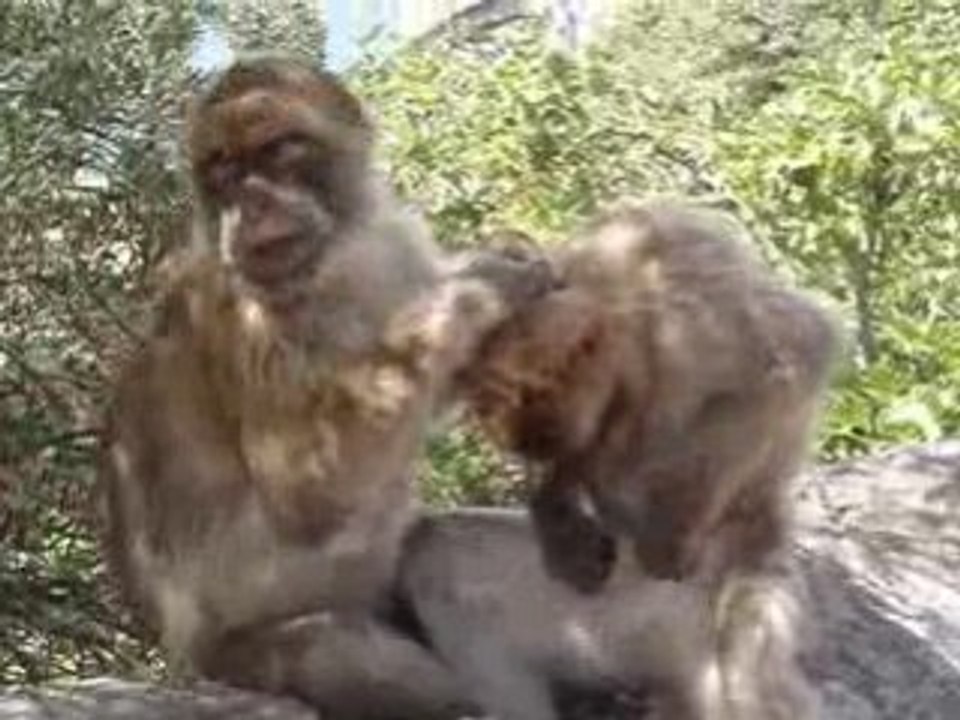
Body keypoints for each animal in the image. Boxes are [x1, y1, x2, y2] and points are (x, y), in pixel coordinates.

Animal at [98, 54, 555, 720]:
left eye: (278, 149)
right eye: (223, 169)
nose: (251, 201)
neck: (333, 255)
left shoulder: (391, 240)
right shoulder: (239, 307)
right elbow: (308, 489)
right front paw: (487, 283)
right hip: (242, 643)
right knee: (331, 645)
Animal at [462, 197, 839, 592]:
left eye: (530, 393)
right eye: (489, 404)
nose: (526, 441)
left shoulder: (681, 332)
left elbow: (789, 365)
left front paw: (672, 534)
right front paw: (554, 498)